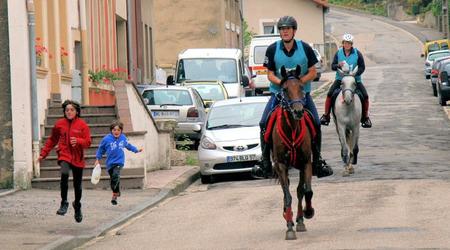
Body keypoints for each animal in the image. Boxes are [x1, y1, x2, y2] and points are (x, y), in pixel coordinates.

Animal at [268, 65, 314, 240]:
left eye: (301, 87)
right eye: (285, 89)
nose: (298, 111)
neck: (292, 130)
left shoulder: (305, 162)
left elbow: (306, 191)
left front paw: (307, 213)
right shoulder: (281, 165)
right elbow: (287, 195)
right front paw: (289, 227)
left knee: (300, 191)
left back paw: (299, 220)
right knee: (285, 189)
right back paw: (288, 216)